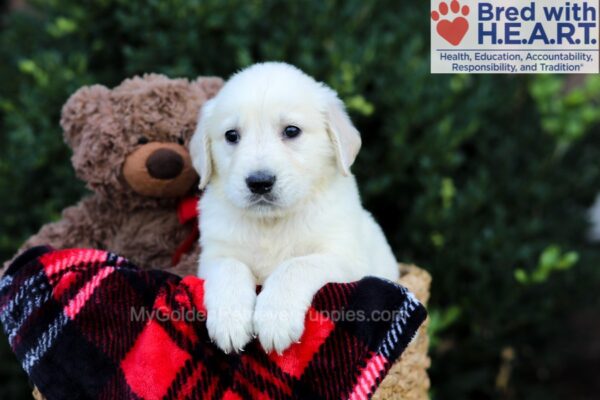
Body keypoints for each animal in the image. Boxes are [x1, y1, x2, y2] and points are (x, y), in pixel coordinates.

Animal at [191, 62, 398, 354]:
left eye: (291, 131)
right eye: (232, 136)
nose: (260, 182)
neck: (272, 223)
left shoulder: (347, 260)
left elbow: (296, 265)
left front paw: (274, 319)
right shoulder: (212, 257)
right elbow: (230, 267)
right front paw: (230, 320)